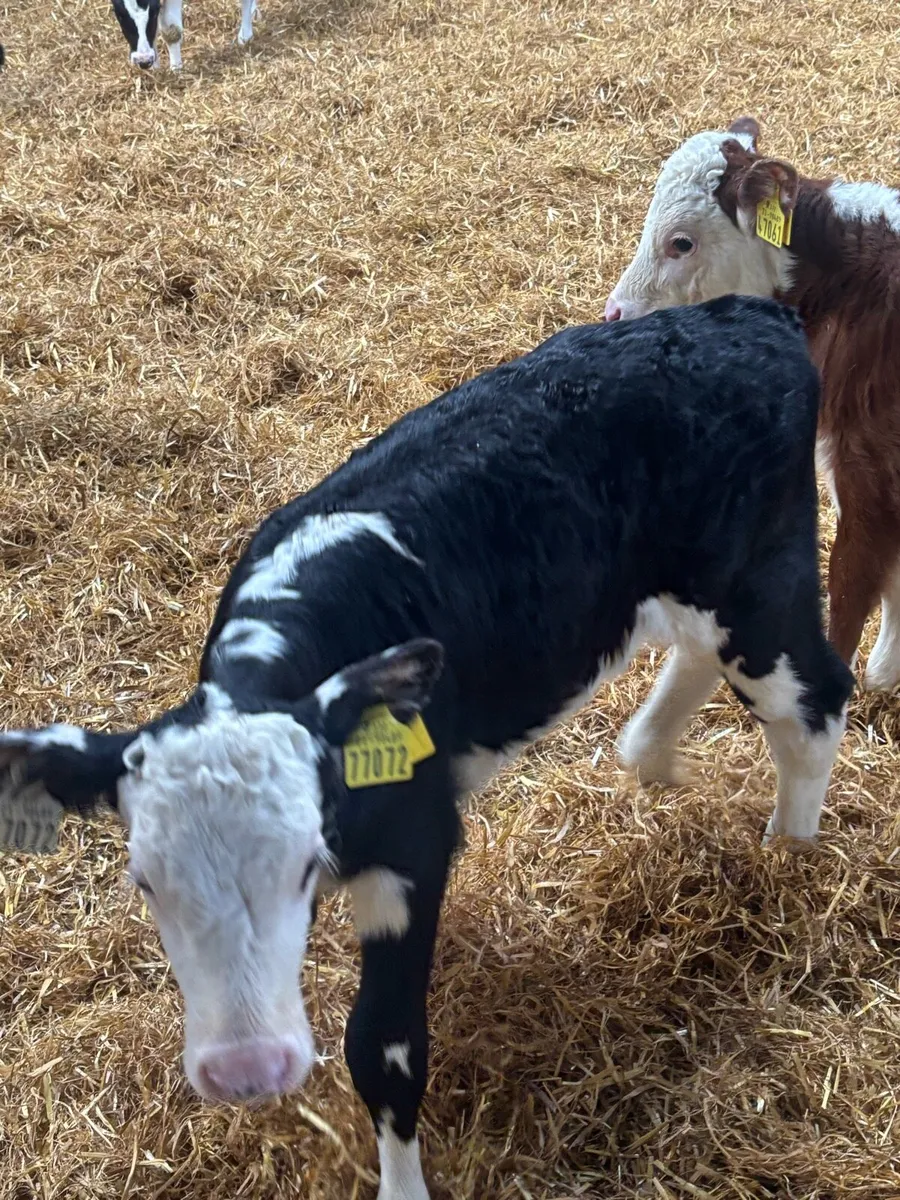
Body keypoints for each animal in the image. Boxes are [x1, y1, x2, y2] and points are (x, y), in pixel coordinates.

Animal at [0, 295, 852, 1199]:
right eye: (146, 883)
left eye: (305, 865)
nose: (246, 1071)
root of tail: (745, 314)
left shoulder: (414, 845)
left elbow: (384, 1049)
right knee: (700, 660)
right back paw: (656, 760)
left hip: (761, 582)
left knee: (816, 702)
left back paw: (790, 859)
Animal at [111, 0, 257, 70]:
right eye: (120, 15)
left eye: (155, 11)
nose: (143, 60)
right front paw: (155, 68)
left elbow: (170, 29)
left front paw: (176, 69)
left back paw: (245, 35)